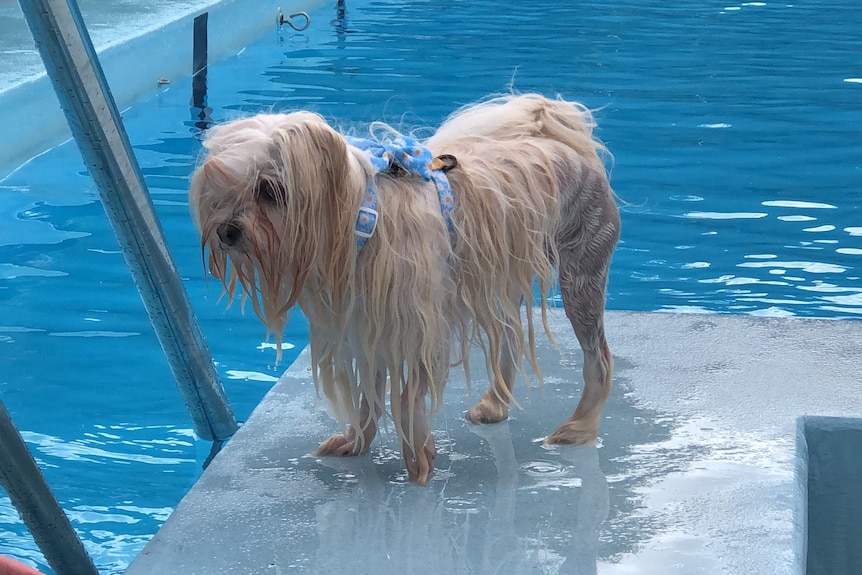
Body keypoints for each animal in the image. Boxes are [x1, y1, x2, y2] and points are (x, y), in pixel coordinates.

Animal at [189, 94, 620, 486]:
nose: (226, 231)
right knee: (509, 340)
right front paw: (357, 443)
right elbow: (368, 398)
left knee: (598, 359)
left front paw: (417, 460)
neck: (362, 220)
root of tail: (563, 138)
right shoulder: (366, 327)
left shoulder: (416, 330)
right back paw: (495, 405)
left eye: (270, 190)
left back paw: (580, 428)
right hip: (499, 281)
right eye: (223, 189)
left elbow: (409, 398)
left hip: (581, 278)